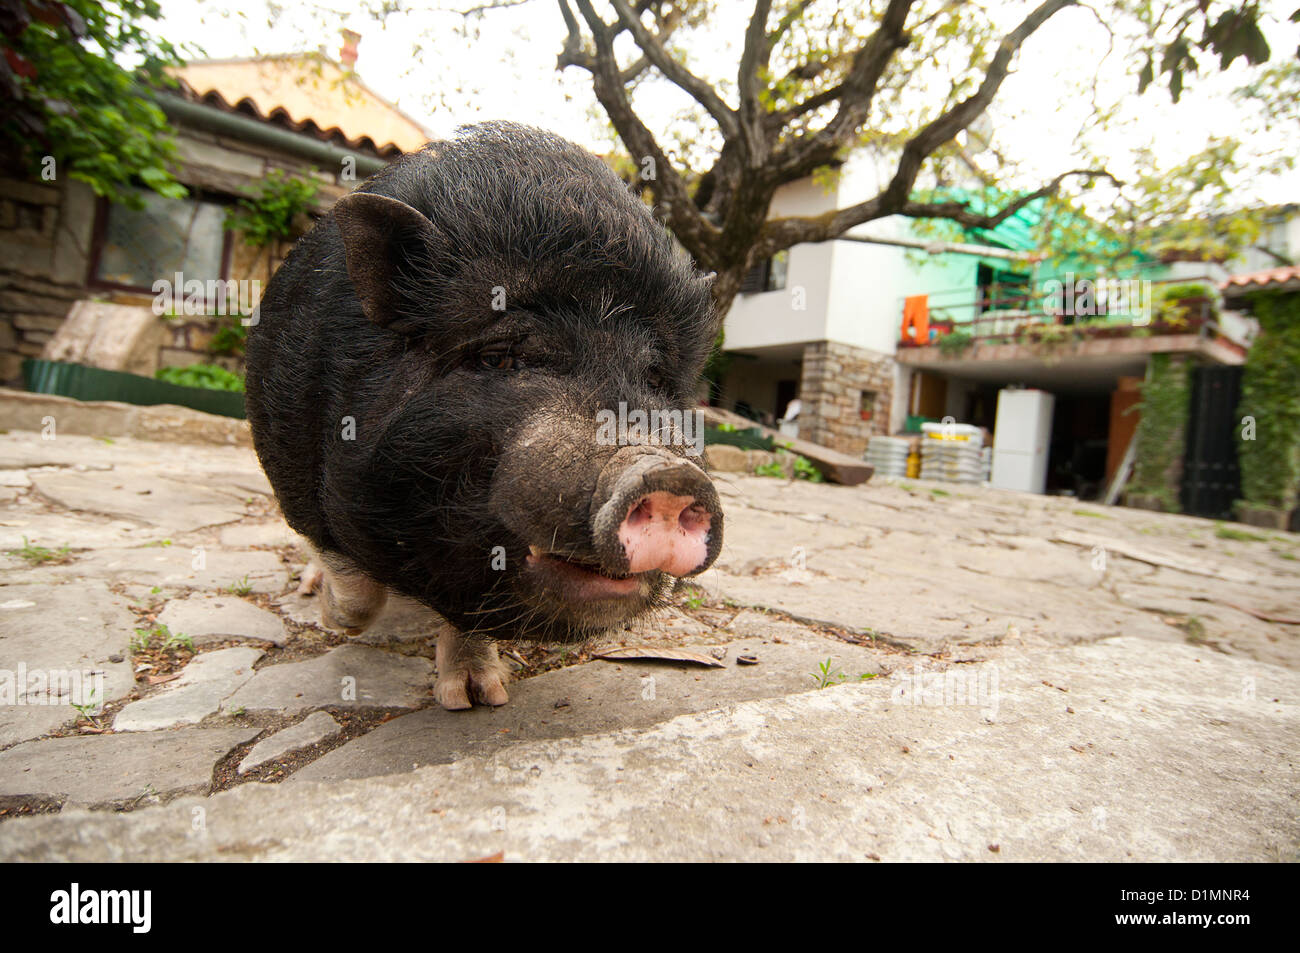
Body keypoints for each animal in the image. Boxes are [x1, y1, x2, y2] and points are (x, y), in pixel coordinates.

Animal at [244, 122, 724, 710]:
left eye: (654, 378)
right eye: (499, 356)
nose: (667, 473)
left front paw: (478, 699)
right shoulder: (290, 457)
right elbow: (351, 581)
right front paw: (334, 619)